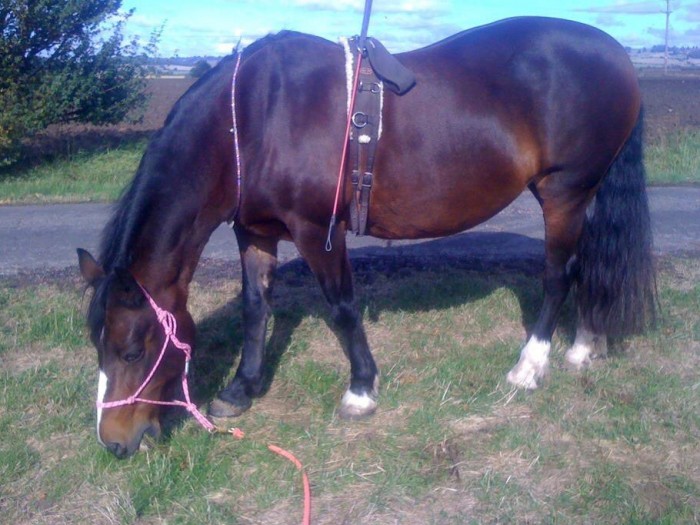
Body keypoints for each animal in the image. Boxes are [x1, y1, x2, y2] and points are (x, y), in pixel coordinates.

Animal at [76, 16, 656, 456]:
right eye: (97, 344)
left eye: (133, 351)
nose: (114, 443)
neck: (252, 120)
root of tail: (619, 56)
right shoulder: (254, 231)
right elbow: (255, 307)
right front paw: (242, 388)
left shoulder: (317, 231)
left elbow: (341, 308)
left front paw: (360, 389)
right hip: (585, 194)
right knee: (591, 264)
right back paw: (585, 345)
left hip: (564, 192)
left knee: (559, 275)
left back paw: (531, 366)